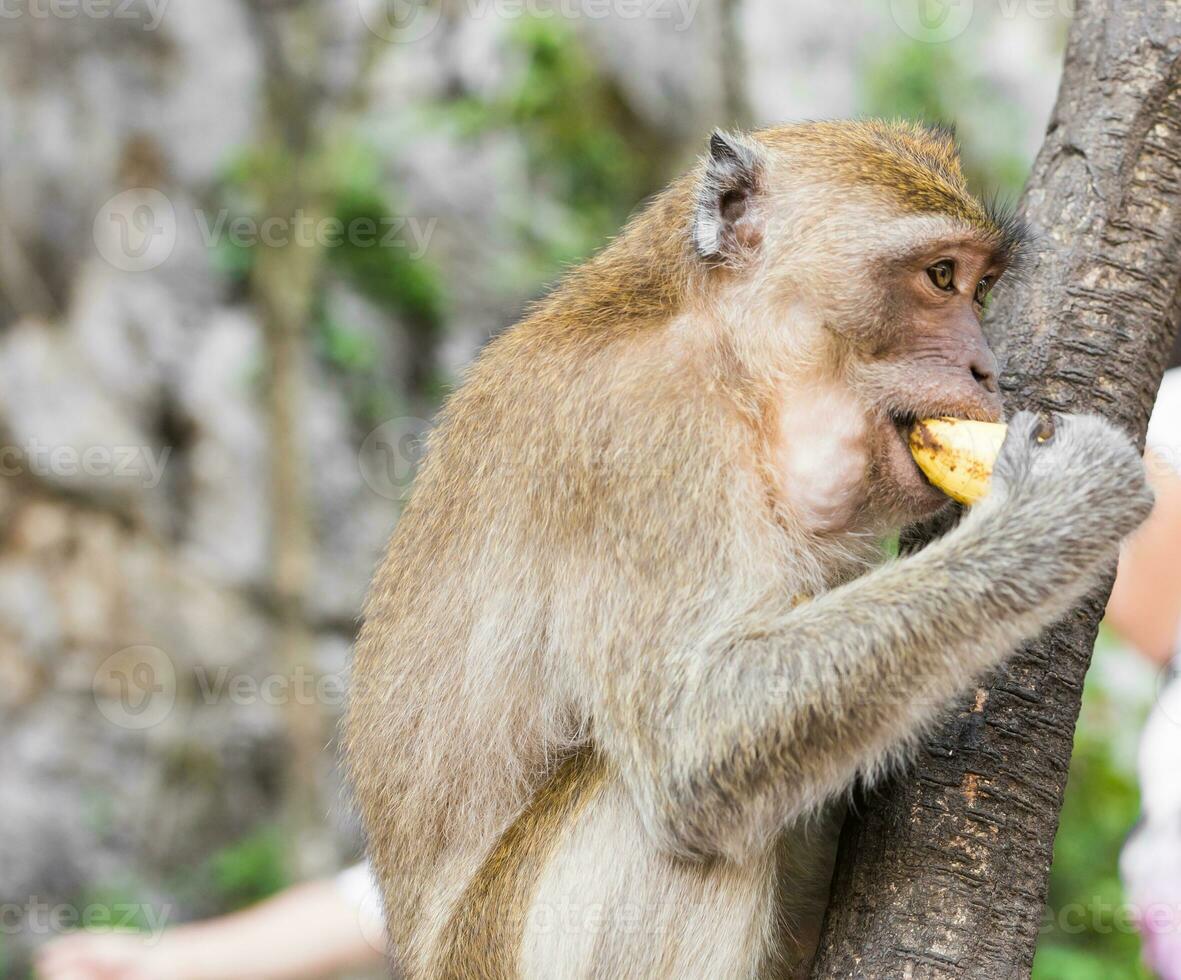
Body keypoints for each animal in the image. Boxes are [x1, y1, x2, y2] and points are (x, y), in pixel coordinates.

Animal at [344, 122, 1152, 980]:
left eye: (981, 288)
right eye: (940, 277)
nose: (985, 369)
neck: (736, 372)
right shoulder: (642, 433)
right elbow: (693, 739)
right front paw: (1059, 507)